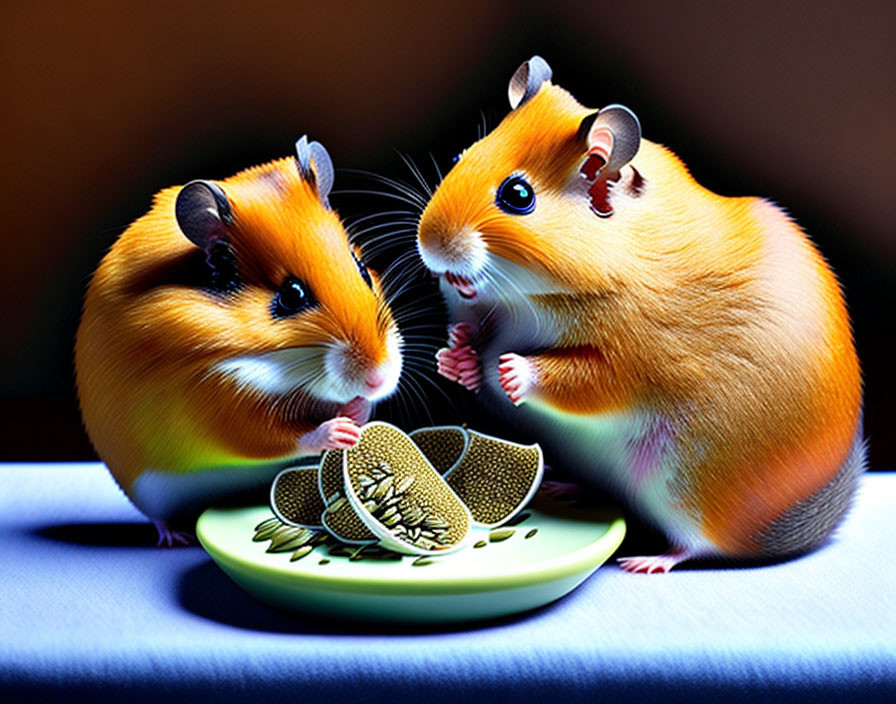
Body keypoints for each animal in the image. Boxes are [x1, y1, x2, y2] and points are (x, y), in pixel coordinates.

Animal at [75, 136, 404, 544]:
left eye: (362, 271)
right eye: (292, 295)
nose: (379, 380)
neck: (287, 366)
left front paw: (358, 411)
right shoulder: (216, 397)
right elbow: (277, 436)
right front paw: (341, 431)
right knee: (159, 517)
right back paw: (175, 537)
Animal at [416, 55, 864, 572]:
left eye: (518, 196)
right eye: (458, 158)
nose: (428, 244)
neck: (527, 297)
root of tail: (794, 529)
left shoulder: (627, 366)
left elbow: (570, 377)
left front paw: (510, 370)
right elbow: (472, 347)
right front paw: (454, 358)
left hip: (686, 491)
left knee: (698, 547)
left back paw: (647, 562)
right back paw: (564, 487)